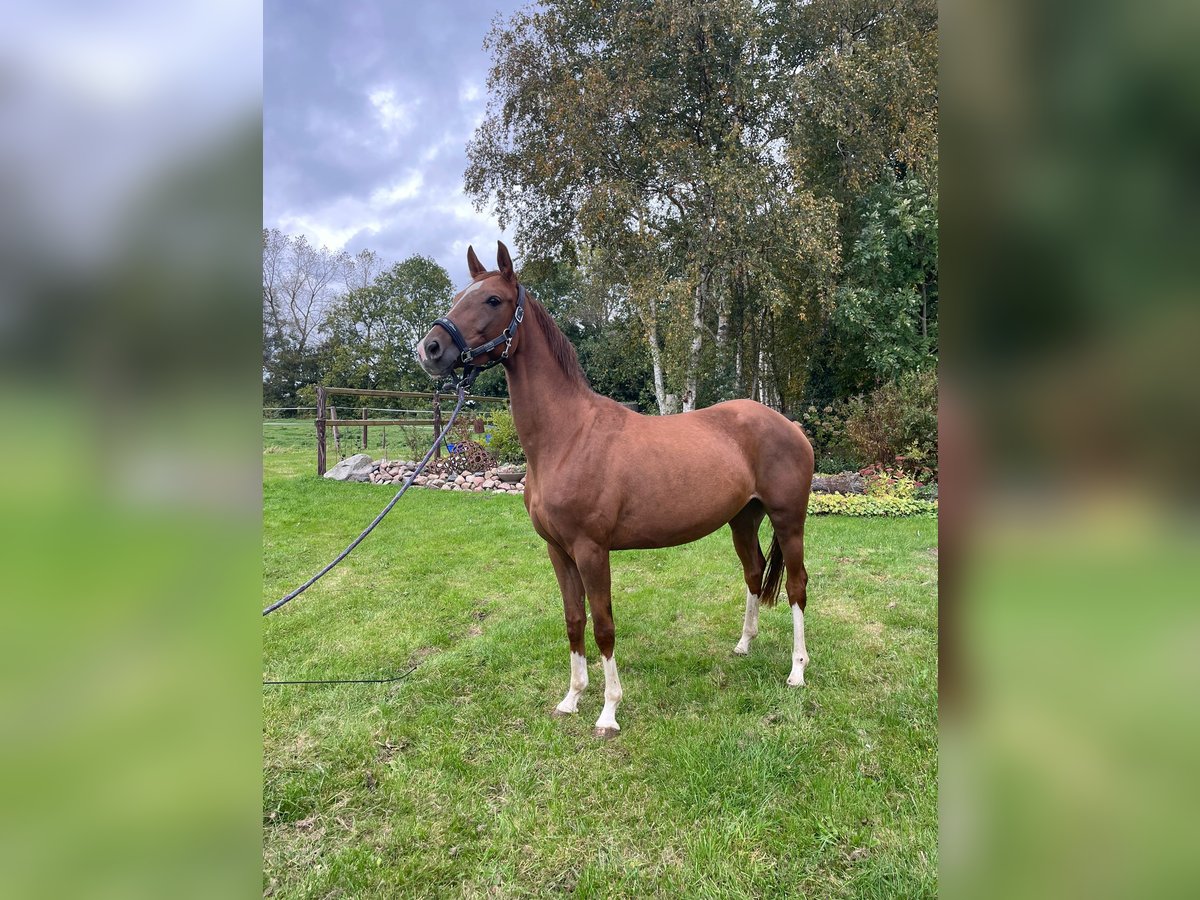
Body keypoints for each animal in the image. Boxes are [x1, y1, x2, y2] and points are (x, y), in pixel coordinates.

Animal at [417, 243, 811, 734]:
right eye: (458, 295)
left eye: (493, 300)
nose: (430, 348)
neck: (568, 436)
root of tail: (790, 426)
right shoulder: (559, 551)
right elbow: (574, 620)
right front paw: (571, 698)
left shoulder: (591, 550)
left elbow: (603, 625)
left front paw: (608, 711)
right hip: (743, 519)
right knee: (755, 572)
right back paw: (744, 644)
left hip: (788, 521)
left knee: (796, 585)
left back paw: (797, 671)